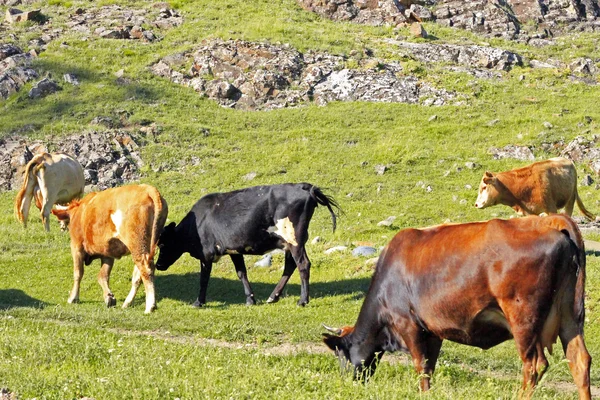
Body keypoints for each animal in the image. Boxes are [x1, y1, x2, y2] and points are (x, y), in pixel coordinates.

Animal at [51, 184, 168, 312]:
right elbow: (103, 275)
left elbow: (78, 273)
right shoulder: (108, 253)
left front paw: (73, 297)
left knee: (146, 269)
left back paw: (150, 306)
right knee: (138, 274)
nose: (62, 227)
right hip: (146, 245)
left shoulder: (76, 246)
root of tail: (147, 189)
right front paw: (109, 297)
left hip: (136, 243)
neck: (79, 211)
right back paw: (128, 302)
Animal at [155, 184, 338, 306]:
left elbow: (204, 279)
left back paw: (303, 300)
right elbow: (241, 273)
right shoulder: (234, 251)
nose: (158, 265)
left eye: (162, 244)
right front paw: (250, 299)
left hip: (294, 239)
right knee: (290, 266)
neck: (196, 224)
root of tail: (305, 187)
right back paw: (273, 297)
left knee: (303, 264)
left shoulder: (206, 254)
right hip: (289, 242)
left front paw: (198, 302)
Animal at [324, 216, 592, 400]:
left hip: (524, 319)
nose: (347, 381)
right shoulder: (432, 331)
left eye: (340, 353)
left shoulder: (408, 324)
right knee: (579, 360)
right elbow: (429, 367)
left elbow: (420, 365)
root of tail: (550, 222)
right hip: (569, 315)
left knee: (534, 365)